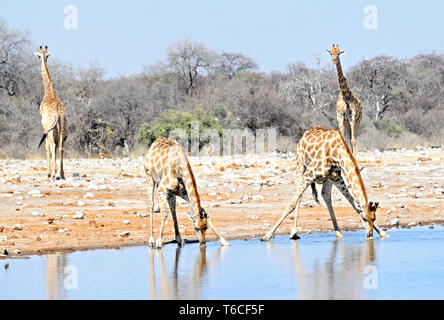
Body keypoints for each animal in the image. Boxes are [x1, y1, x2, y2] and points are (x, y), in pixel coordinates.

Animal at [33, 45, 67, 180]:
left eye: (39, 56)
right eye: (43, 56)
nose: (43, 59)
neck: (49, 91)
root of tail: (58, 113)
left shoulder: (45, 127)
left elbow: (47, 147)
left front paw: (48, 173)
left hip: (51, 129)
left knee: (52, 146)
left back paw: (53, 174)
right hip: (62, 128)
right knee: (61, 147)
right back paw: (62, 174)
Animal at [262, 126, 390, 241]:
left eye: (374, 218)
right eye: (364, 218)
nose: (369, 236)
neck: (336, 154)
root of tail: (305, 133)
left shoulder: (337, 178)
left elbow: (353, 203)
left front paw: (383, 233)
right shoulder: (309, 174)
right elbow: (292, 203)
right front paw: (267, 235)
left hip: (328, 180)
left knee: (326, 196)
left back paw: (339, 234)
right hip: (300, 165)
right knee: (300, 197)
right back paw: (294, 233)